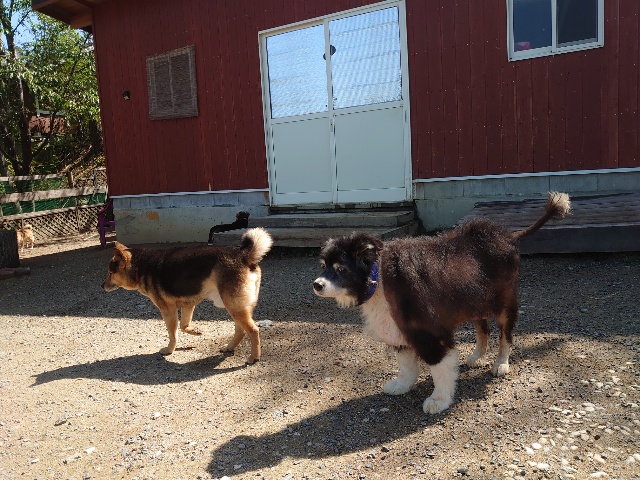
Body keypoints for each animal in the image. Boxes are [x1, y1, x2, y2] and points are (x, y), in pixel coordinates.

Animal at [102, 227, 272, 363]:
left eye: (110, 273)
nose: (102, 286)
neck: (140, 266)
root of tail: (243, 255)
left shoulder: (168, 310)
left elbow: (173, 334)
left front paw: (169, 350)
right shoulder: (188, 304)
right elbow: (184, 326)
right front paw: (195, 331)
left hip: (234, 307)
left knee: (253, 331)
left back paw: (254, 357)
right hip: (236, 307)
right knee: (241, 330)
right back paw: (229, 347)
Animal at [313, 192, 570, 414]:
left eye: (341, 269)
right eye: (323, 266)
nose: (316, 284)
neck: (379, 280)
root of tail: (508, 235)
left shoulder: (431, 333)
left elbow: (440, 370)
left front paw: (439, 400)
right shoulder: (401, 329)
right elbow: (406, 365)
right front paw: (402, 385)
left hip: (504, 303)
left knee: (505, 335)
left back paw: (500, 363)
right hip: (475, 301)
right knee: (483, 329)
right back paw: (477, 356)